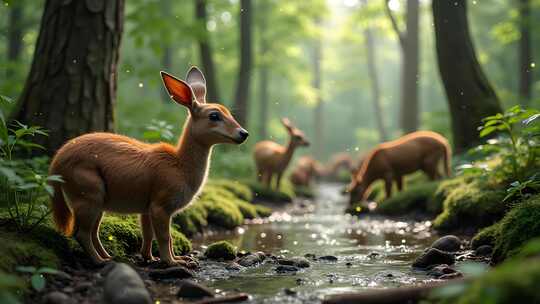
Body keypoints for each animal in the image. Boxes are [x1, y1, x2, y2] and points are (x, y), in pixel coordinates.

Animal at [49, 66, 248, 266]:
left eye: (229, 112)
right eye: (214, 116)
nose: (244, 133)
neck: (180, 167)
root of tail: (56, 164)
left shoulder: (147, 207)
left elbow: (149, 234)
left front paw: (157, 257)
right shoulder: (161, 203)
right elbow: (165, 237)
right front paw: (173, 262)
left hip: (96, 198)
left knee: (92, 232)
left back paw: (108, 256)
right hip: (89, 190)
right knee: (81, 233)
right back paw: (100, 261)